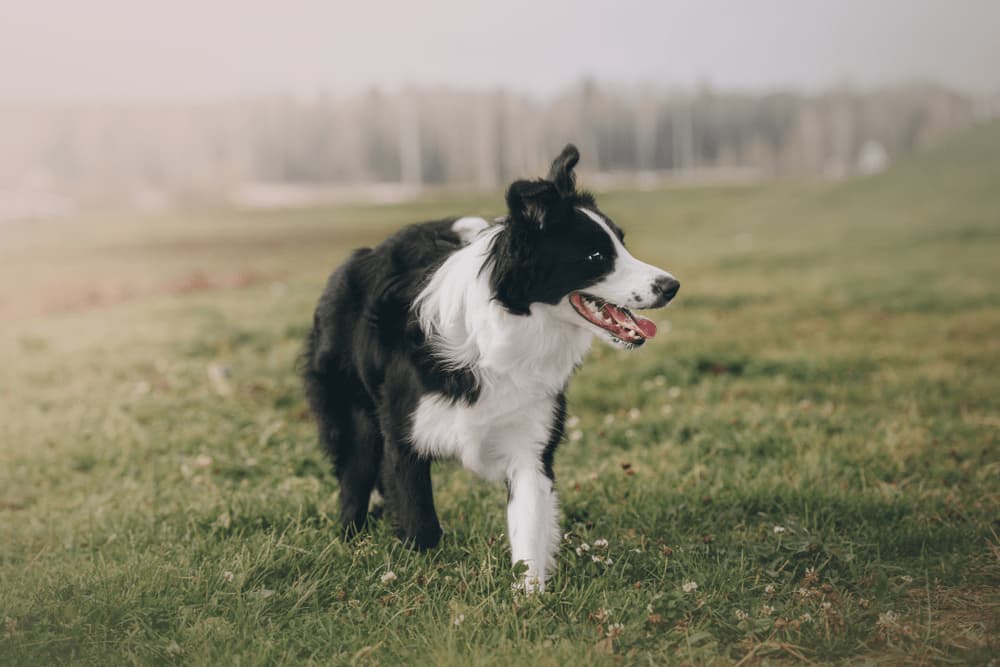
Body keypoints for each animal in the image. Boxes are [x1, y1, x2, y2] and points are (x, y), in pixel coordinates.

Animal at [304, 145, 680, 588]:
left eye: (622, 244)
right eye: (596, 256)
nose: (672, 286)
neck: (512, 329)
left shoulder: (531, 444)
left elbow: (529, 531)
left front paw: (530, 595)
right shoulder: (404, 438)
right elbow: (421, 523)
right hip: (353, 417)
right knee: (354, 477)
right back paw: (351, 540)